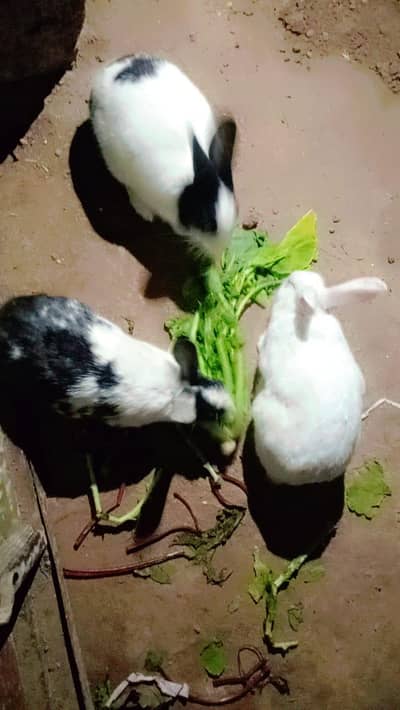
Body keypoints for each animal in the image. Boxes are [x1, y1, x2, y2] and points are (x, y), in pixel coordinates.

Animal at [89, 53, 238, 261]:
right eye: (206, 222)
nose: (218, 257)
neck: (184, 192)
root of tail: (107, 74)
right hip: (114, 160)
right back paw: (143, 210)